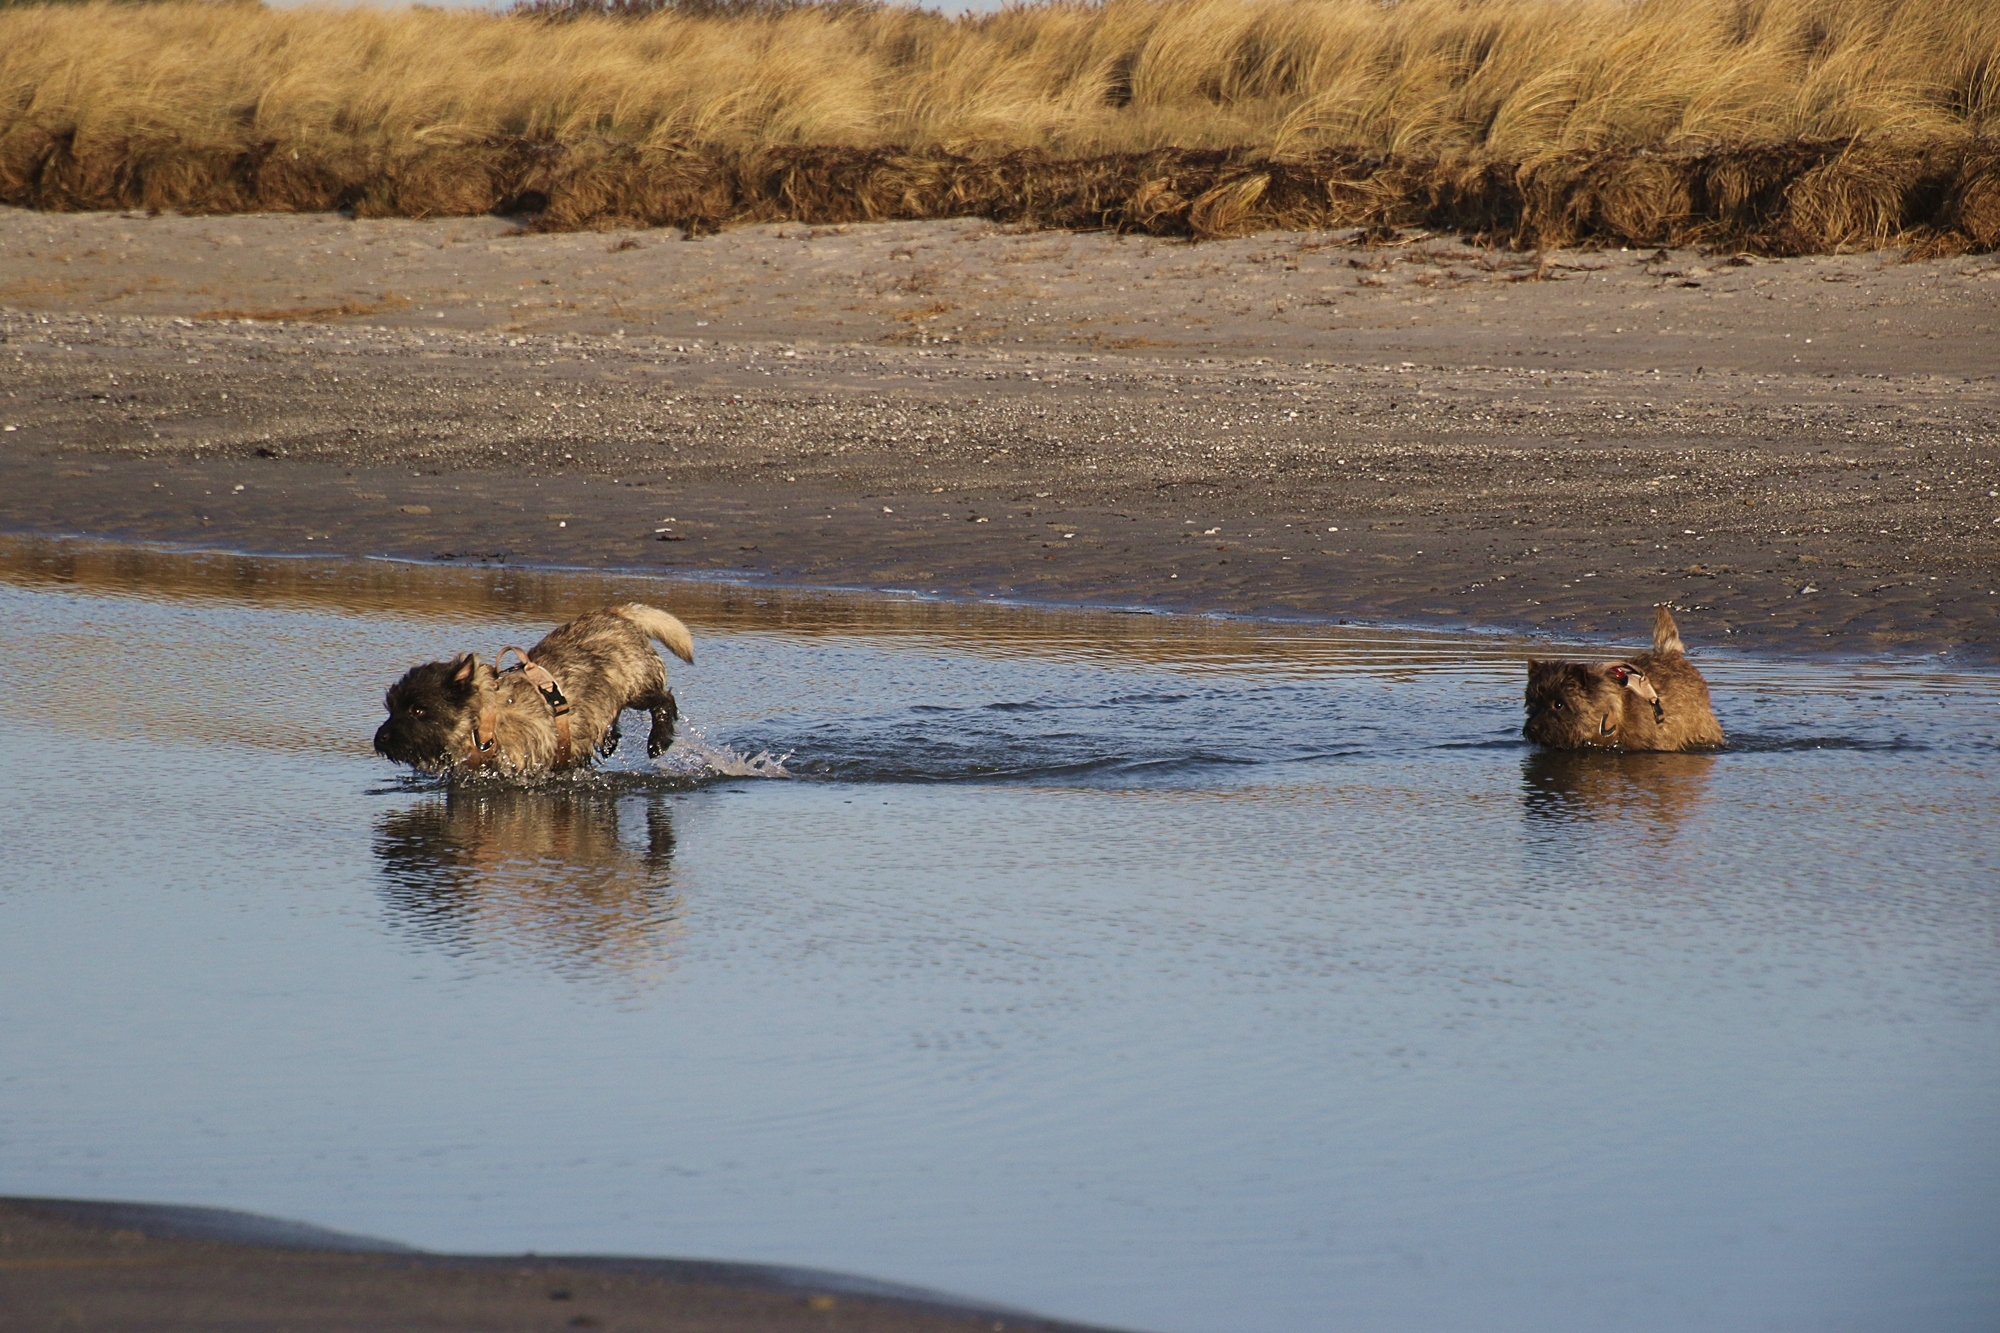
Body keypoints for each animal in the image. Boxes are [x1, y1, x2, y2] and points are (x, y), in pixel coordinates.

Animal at [376, 600, 696, 772]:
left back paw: (657, 741)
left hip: (636, 686)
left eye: (419, 710)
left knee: (663, 701)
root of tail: (615, 613)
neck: (485, 722)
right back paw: (608, 740)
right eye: (392, 708)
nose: (380, 739)